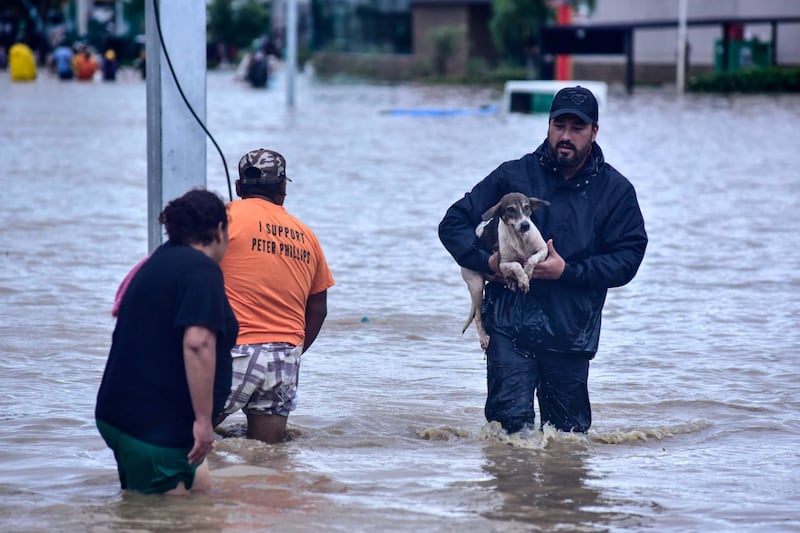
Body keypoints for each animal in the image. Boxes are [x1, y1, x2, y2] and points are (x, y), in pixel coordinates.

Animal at [462, 191, 552, 350]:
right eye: (510, 209)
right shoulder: (502, 263)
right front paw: (523, 279)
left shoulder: (544, 250)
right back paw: (483, 337)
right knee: (477, 316)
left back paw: (511, 281)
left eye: (527, 207)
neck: (520, 239)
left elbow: (531, 259)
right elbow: (516, 265)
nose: (525, 225)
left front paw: (527, 272)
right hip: (476, 285)